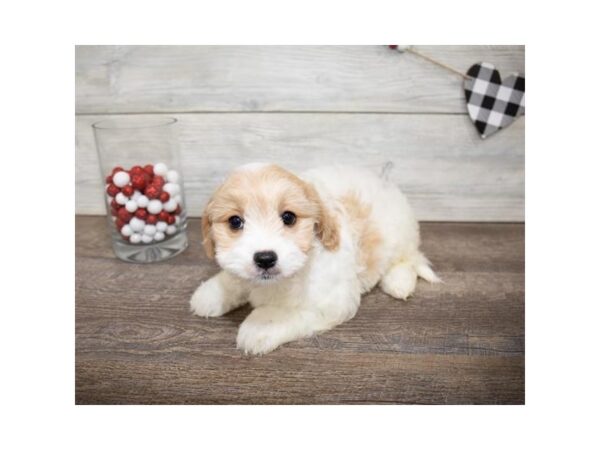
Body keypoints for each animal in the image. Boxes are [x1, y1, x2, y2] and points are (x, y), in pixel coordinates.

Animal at [190, 163, 438, 356]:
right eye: (235, 222)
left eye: (288, 217)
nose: (265, 258)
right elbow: (235, 279)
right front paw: (212, 293)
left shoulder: (331, 301)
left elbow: (288, 313)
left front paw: (259, 326)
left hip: (401, 235)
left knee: (408, 259)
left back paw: (399, 283)